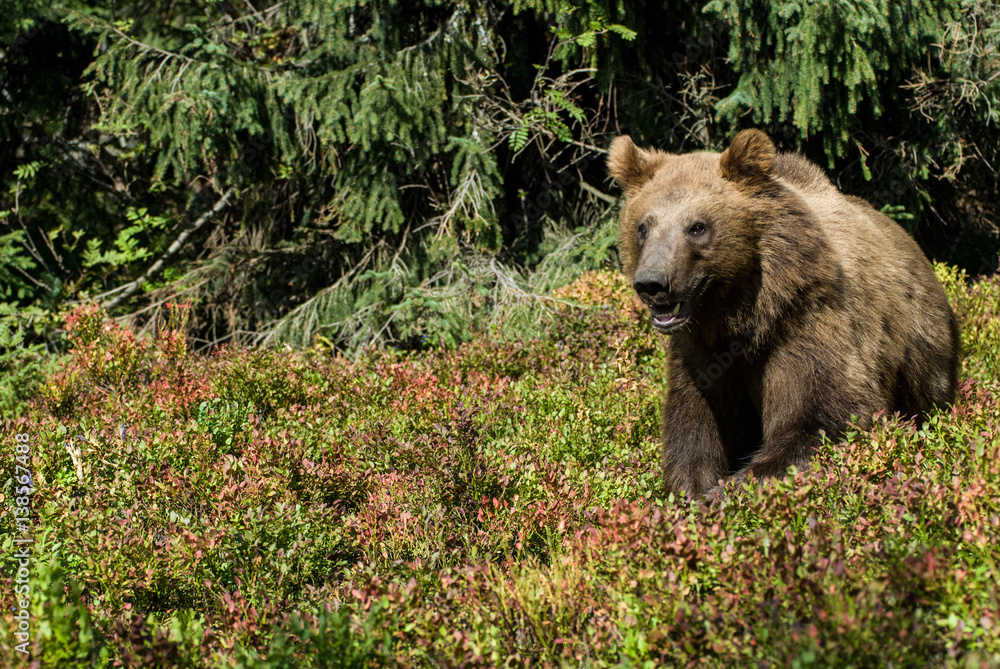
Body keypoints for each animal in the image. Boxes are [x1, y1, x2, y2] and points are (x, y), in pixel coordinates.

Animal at [607, 129, 960, 498]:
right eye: (643, 227)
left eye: (697, 227)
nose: (653, 283)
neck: (739, 317)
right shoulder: (699, 359)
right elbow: (695, 431)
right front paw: (692, 490)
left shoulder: (806, 321)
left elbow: (821, 418)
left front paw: (728, 490)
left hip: (920, 345)